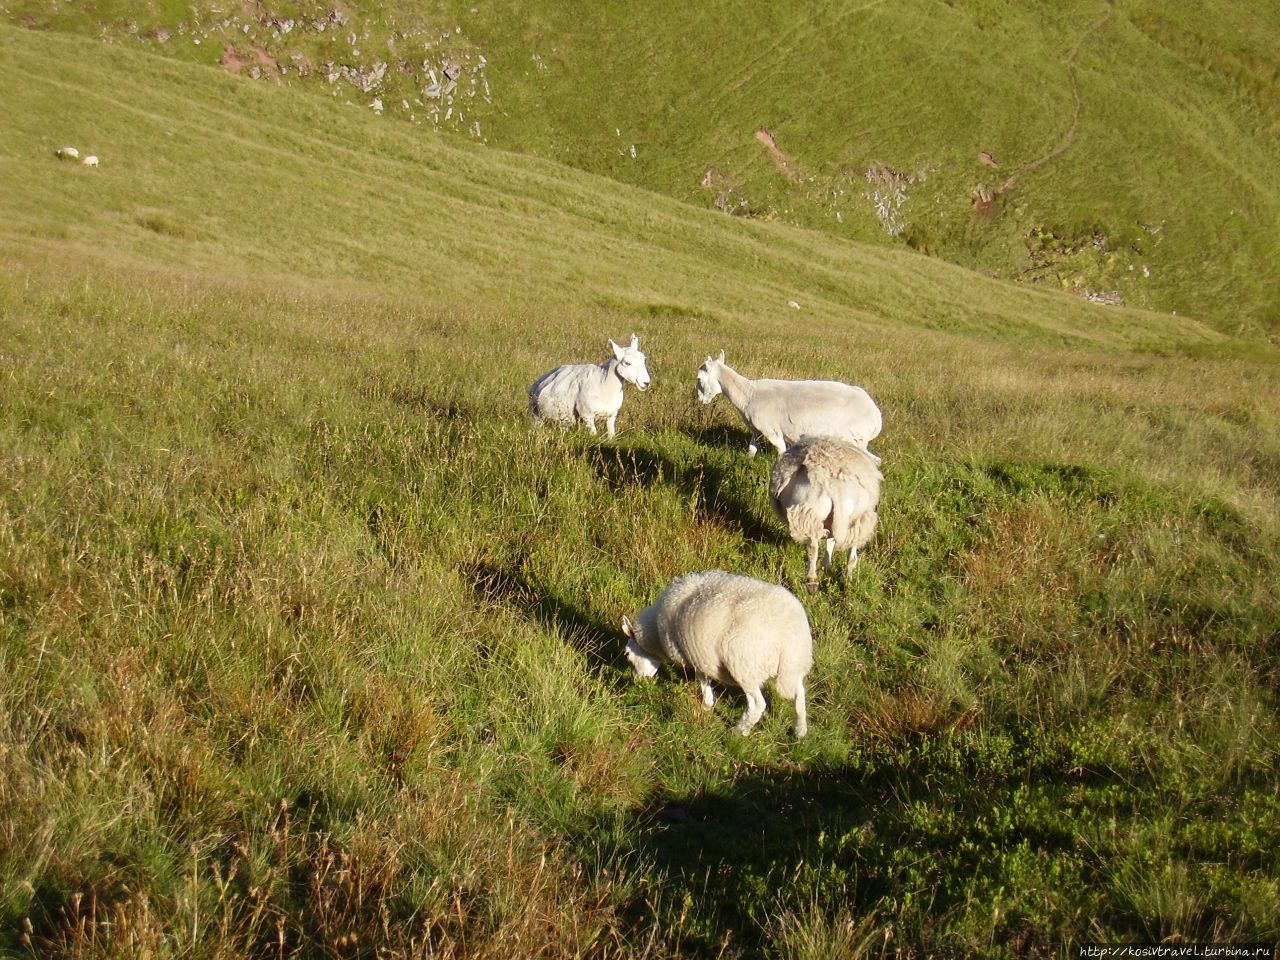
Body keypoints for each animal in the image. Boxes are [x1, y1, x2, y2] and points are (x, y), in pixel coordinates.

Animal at [624, 570, 814, 737]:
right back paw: (800, 731)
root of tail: (790, 638)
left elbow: (702, 679)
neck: (655, 633)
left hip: (745, 666)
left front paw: (706, 704)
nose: (637, 682)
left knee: (757, 705)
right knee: (799, 695)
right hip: (793, 668)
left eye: (627, 655)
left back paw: (739, 731)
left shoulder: (694, 655)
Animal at [691, 350, 880, 460]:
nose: (700, 400)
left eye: (699, 379)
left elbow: (781, 452)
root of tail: (877, 417)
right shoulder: (756, 429)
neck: (749, 393)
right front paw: (745, 461)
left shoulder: (772, 430)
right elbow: (752, 449)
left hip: (855, 438)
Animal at [768, 437, 880, 593]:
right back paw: (848, 580)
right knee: (852, 554)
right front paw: (826, 566)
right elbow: (830, 542)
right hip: (859, 520)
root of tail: (838, 487)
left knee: (813, 547)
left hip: (810, 513)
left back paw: (812, 581)